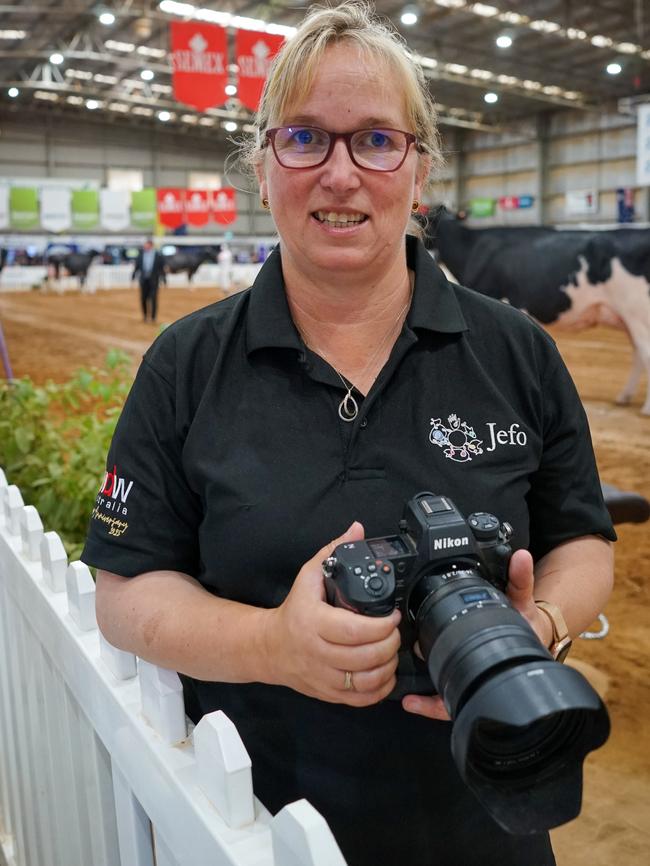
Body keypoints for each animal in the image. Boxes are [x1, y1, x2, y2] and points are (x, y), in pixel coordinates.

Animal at [426, 208, 648, 414]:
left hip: (637, 312)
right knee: (637, 353)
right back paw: (624, 396)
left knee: (644, 352)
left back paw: (645, 408)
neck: (472, 248)